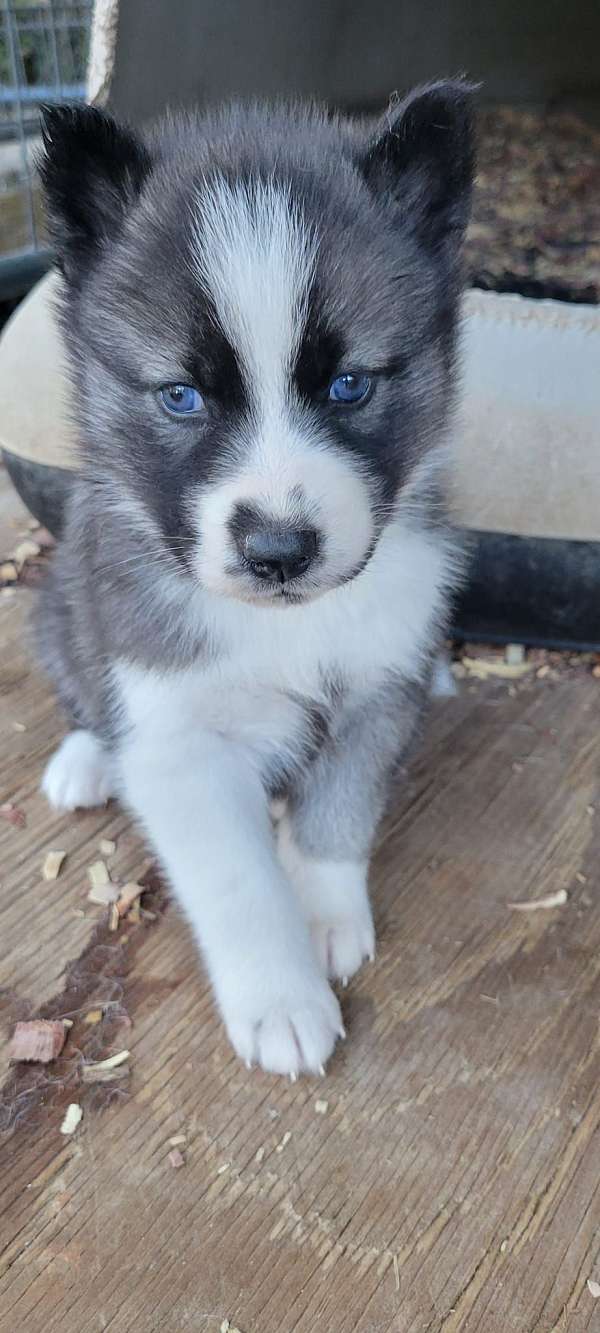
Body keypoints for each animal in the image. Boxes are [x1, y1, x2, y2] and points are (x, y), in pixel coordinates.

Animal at [37, 83, 474, 1077]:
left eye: (350, 384)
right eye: (180, 396)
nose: (279, 549)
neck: (287, 623)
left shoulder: (374, 687)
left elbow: (339, 813)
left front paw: (324, 914)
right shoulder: (180, 740)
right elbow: (238, 884)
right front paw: (281, 998)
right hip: (63, 610)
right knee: (82, 689)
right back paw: (87, 759)